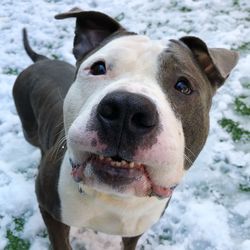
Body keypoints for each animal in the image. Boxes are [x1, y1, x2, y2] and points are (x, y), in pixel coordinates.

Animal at [12, 7, 239, 250]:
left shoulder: (135, 231)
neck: (114, 198)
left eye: (183, 85)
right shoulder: (50, 211)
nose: (127, 108)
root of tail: (41, 59)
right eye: (98, 67)